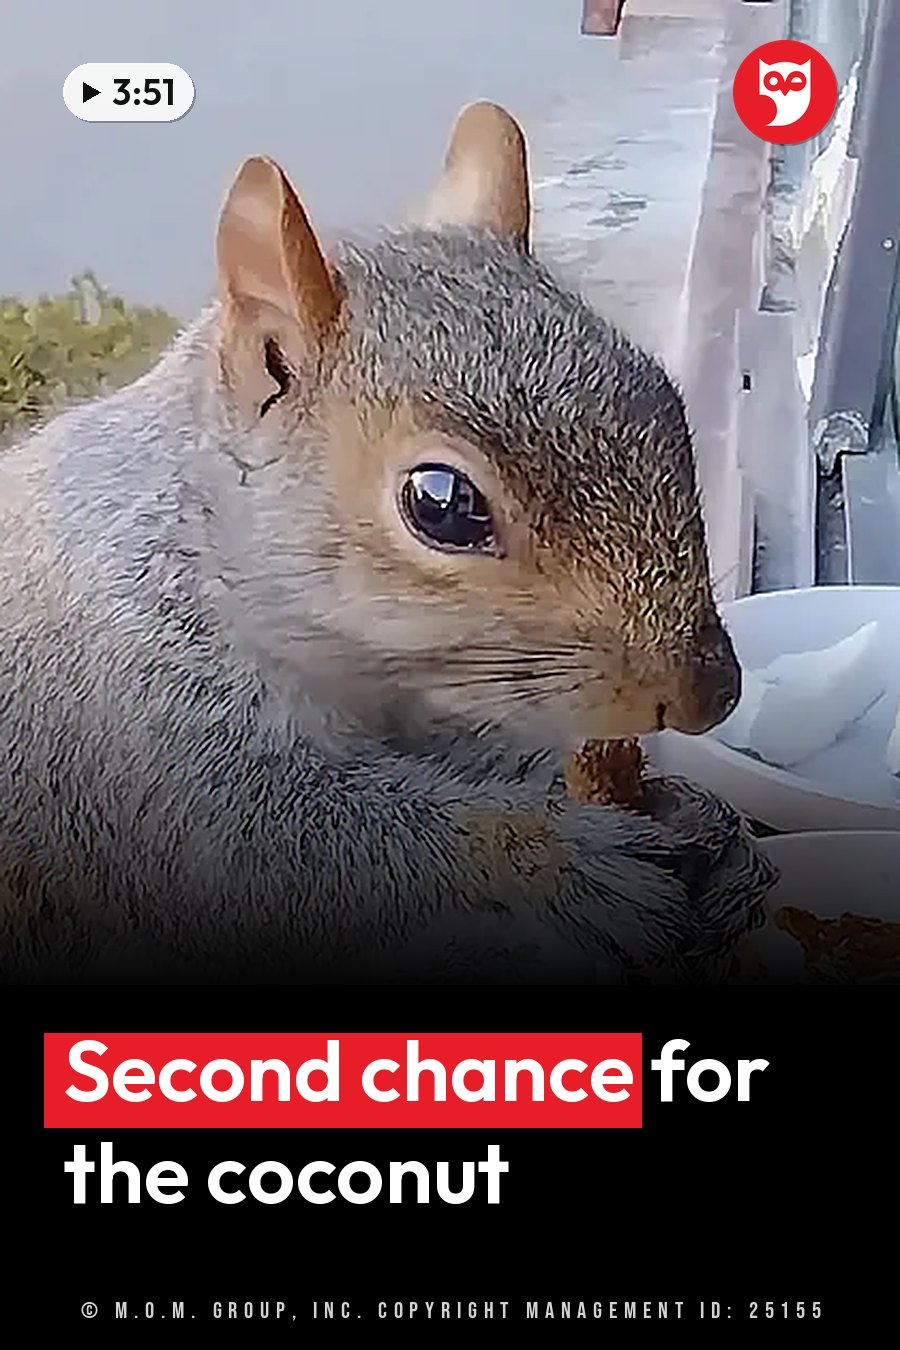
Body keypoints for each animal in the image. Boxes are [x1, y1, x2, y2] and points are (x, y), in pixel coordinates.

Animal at [0, 102, 774, 985]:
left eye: (669, 402)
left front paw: (701, 822)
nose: (709, 692)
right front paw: (578, 868)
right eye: (441, 504)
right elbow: (288, 842)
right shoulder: (136, 725)